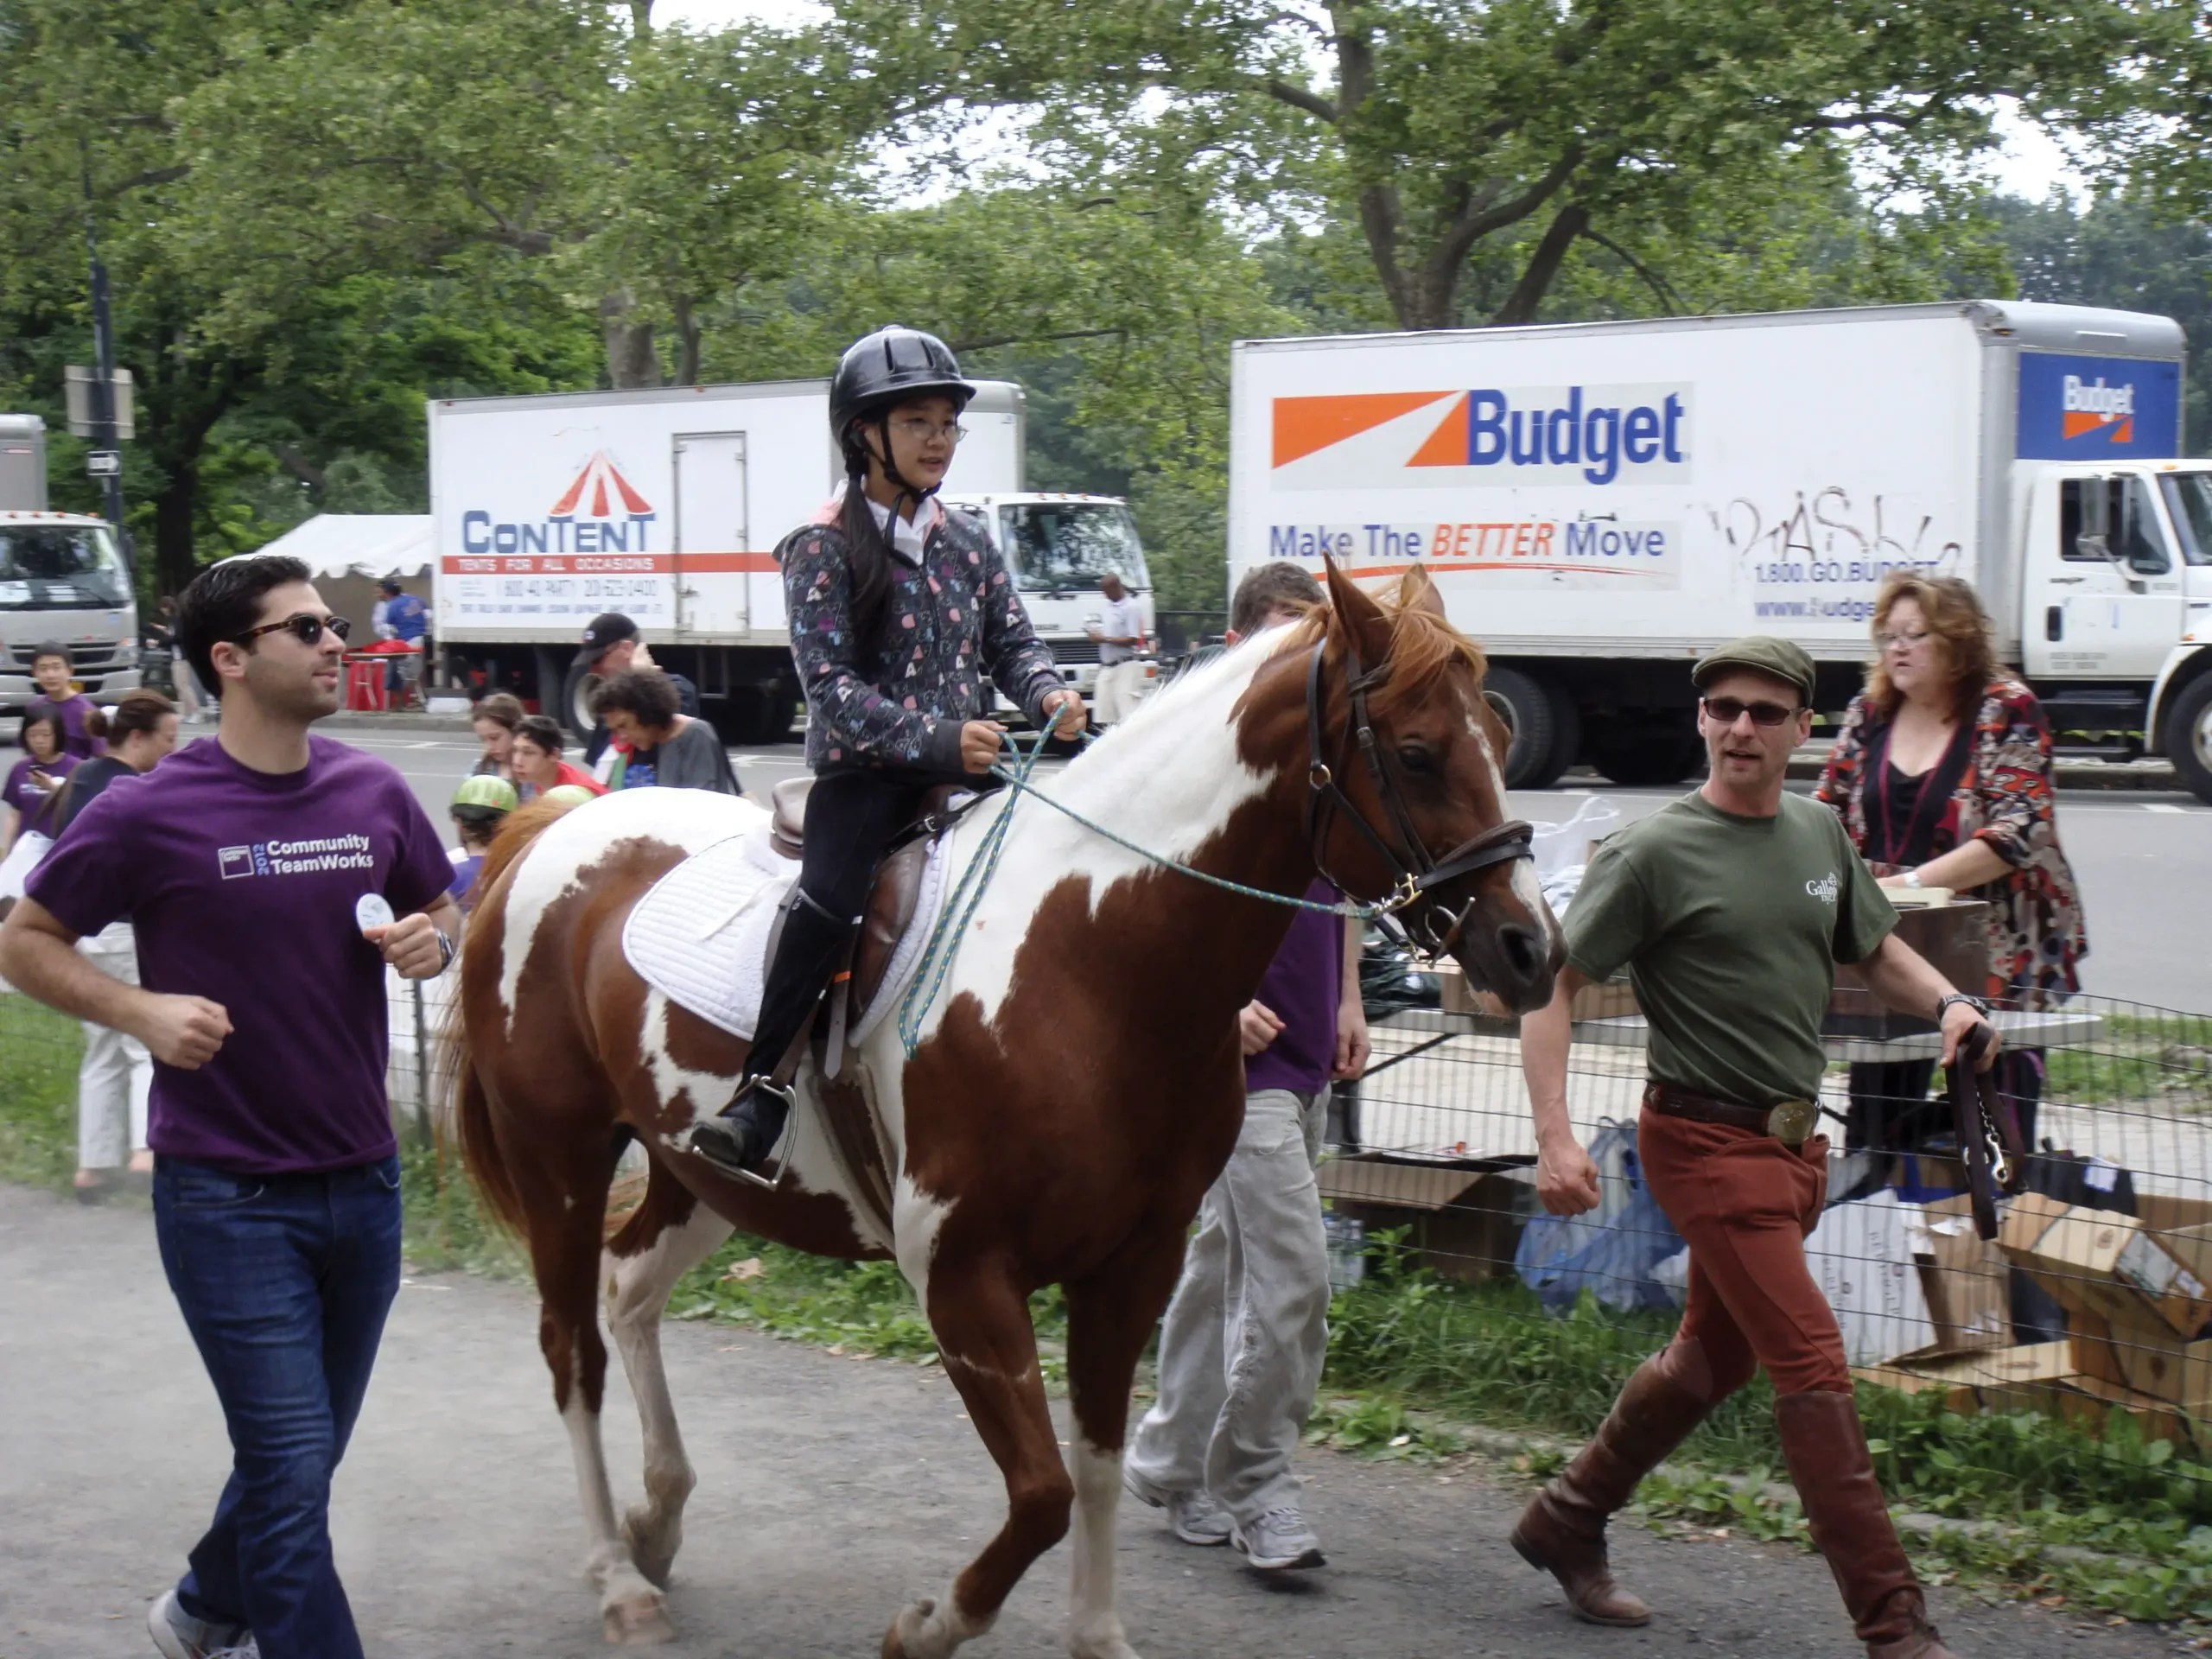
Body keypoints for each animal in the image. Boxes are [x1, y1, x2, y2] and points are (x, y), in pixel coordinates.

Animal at [444, 566, 1557, 1654]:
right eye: (1415, 753)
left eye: (1500, 740)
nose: (1529, 949)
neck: (1092, 961)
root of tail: (548, 831)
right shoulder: (963, 1277)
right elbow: (1040, 1494)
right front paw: (930, 1623)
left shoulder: (1131, 1267)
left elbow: (1095, 1465)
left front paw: (1097, 1636)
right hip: (562, 1160)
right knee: (573, 1349)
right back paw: (618, 1578)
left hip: (704, 1171)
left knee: (631, 1289)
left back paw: (657, 1519)